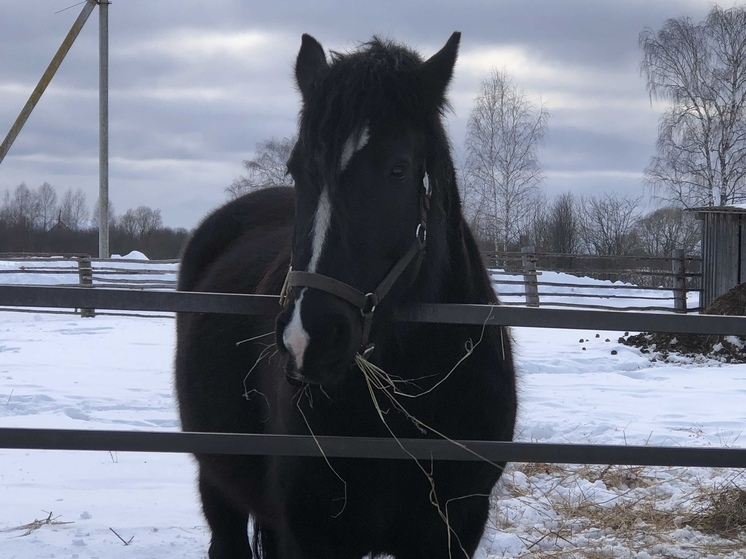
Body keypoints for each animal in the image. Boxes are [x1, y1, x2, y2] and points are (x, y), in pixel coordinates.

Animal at [175, 32, 516, 556]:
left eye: (398, 170)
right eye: (297, 169)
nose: (307, 340)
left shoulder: (456, 527)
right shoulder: (312, 535)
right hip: (217, 481)